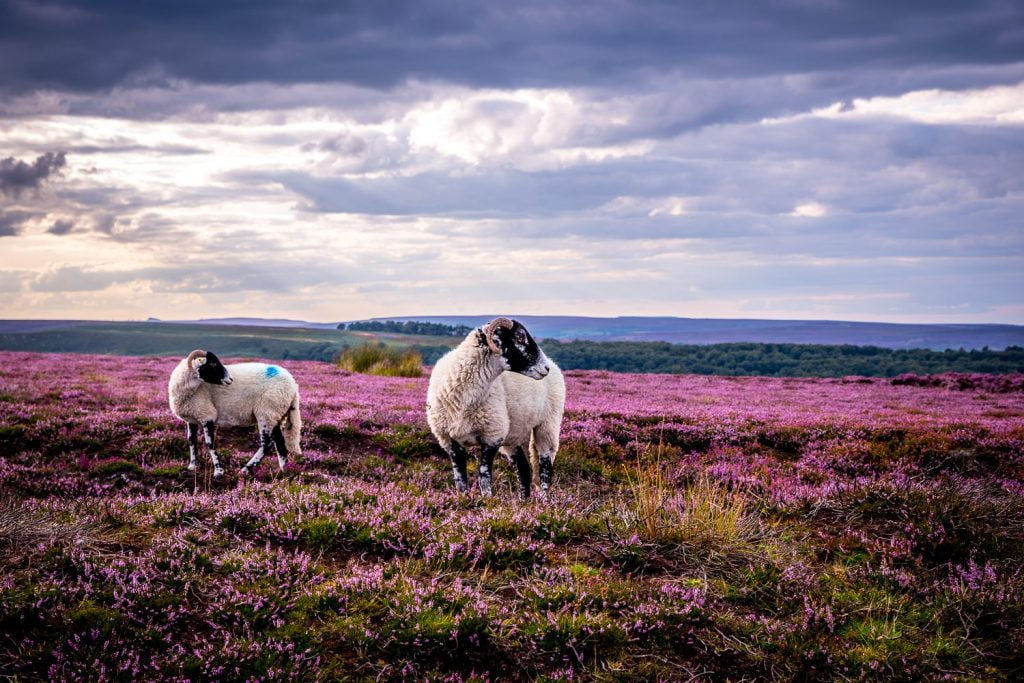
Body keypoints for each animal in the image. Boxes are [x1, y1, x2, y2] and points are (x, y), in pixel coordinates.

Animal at [167, 350, 302, 478]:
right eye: (212, 364)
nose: (230, 379)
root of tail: (293, 386)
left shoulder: (207, 415)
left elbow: (210, 443)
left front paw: (218, 471)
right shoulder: (192, 418)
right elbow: (191, 440)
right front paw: (192, 466)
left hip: (266, 412)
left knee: (267, 443)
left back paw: (246, 469)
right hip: (274, 415)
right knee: (279, 442)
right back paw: (284, 470)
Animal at [426, 317, 565, 500]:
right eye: (520, 337)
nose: (545, 368)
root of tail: (555, 366)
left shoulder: (492, 436)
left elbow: (484, 476)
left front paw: (487, 500)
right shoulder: (449, 439)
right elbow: (460, 479)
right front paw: (463, 500)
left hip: (548, 424)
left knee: (545, 465)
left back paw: (543, 500)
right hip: (513, 432)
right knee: (523, 467)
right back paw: (524, 501)